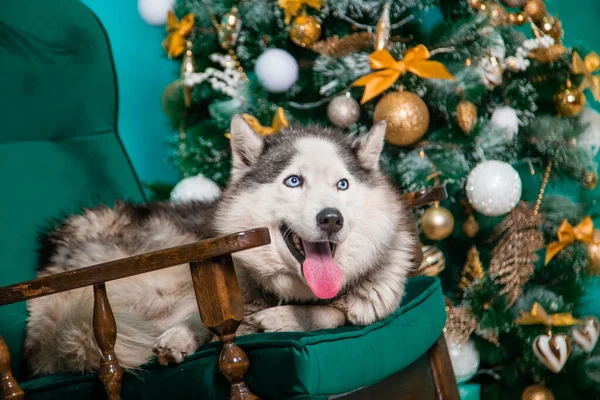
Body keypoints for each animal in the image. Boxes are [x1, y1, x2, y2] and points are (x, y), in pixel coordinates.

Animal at [25, 115, 420, 376]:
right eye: (293, 181)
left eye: (343, 184)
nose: (331, 219)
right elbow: (200, 317)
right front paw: (183, 335)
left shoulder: (374, 303)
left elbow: (336, 313)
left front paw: (282, 319)